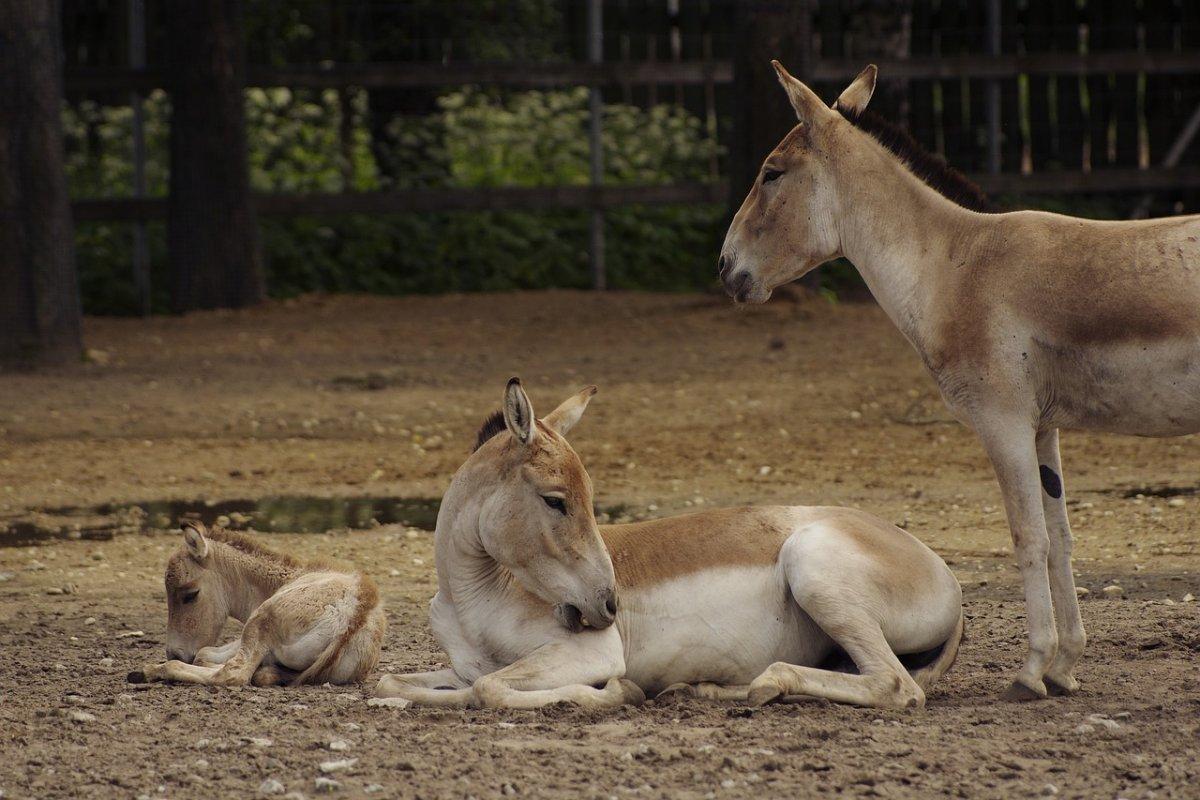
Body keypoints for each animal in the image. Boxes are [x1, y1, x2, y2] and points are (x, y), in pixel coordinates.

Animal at [132, 522, 384, 686]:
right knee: (260, 675)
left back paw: (149, 671)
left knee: (234, 674)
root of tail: (353, 619)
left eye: (190, 595)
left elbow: (203, 654)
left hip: (259, 622)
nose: (174, 653)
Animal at [376, 381, 964, 714]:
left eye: (585, 498)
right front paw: (395, 696)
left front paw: (614, 695)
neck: (473, 596)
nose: (607, 605)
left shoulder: (592, 652)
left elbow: (490, 688)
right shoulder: (463, 665)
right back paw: (703, 691)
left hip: (814, 568)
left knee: (896, 686)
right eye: (556, 500)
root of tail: (947, 575)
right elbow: (400, 678)